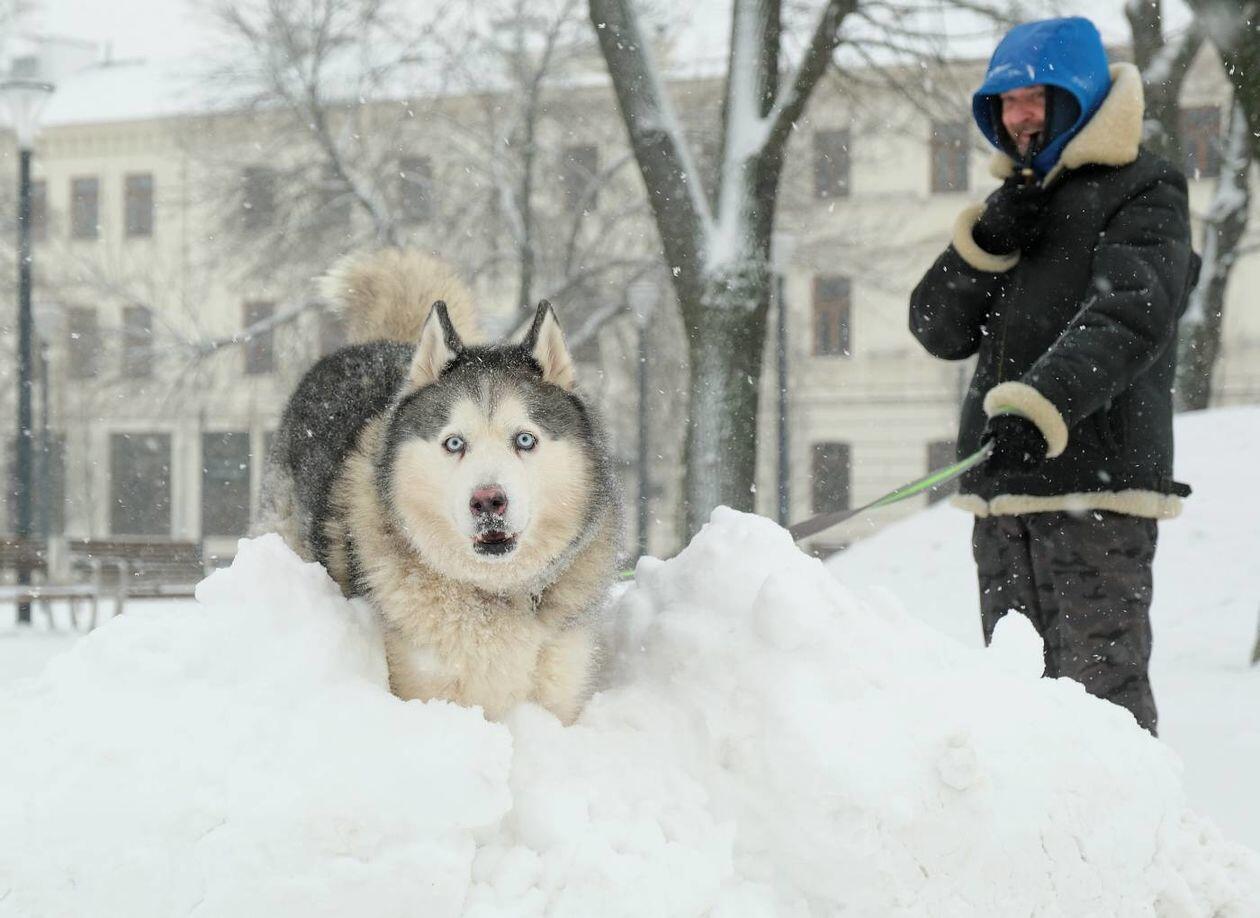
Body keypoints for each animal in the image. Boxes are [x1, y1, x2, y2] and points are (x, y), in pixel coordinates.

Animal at [257, 249, 622, 724]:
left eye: (525, 439)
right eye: (454, 443)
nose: (488, 501)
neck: (491, 594)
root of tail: (381, 342)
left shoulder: (559, 693)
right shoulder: (421, 687)